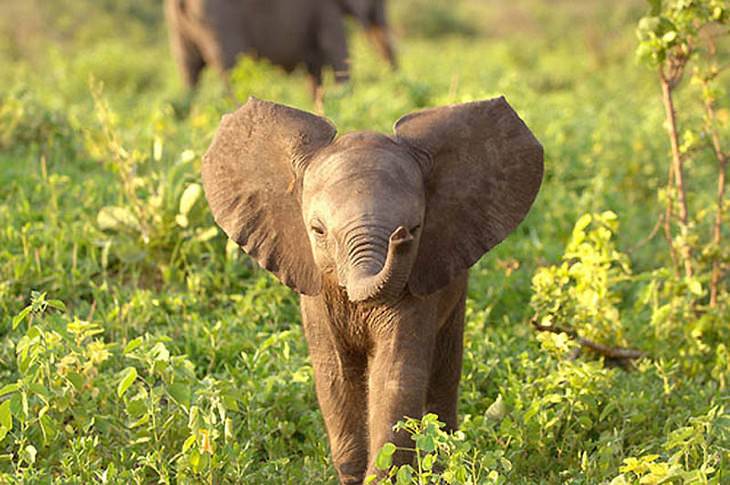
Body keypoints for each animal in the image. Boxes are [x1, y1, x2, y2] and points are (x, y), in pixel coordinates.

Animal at [164, 0, 346, 97]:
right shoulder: (326, 9)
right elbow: (335, 48)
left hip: (179, 24)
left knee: (188, 69)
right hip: (217, 20)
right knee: (229, 70)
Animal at [199, 95, 540, 480]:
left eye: (416, 228)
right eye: (317, 230)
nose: (400, 238)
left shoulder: (418, 285)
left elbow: (394, 374)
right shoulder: (317, 292)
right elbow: (335, 375)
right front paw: (352, 475)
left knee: (445, 371)